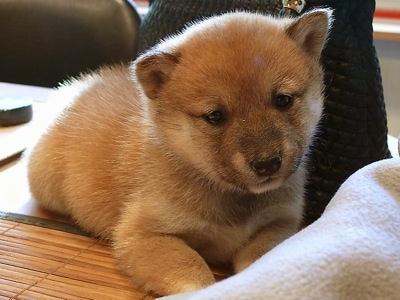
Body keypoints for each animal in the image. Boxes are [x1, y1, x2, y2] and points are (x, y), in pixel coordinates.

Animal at [27, 8, 332, 296]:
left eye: (283, 100)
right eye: (215, 116)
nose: (267, 164)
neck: (232, 197)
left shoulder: (281, 224)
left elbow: (263, 261)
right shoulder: (144, 235)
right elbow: (192, 271)